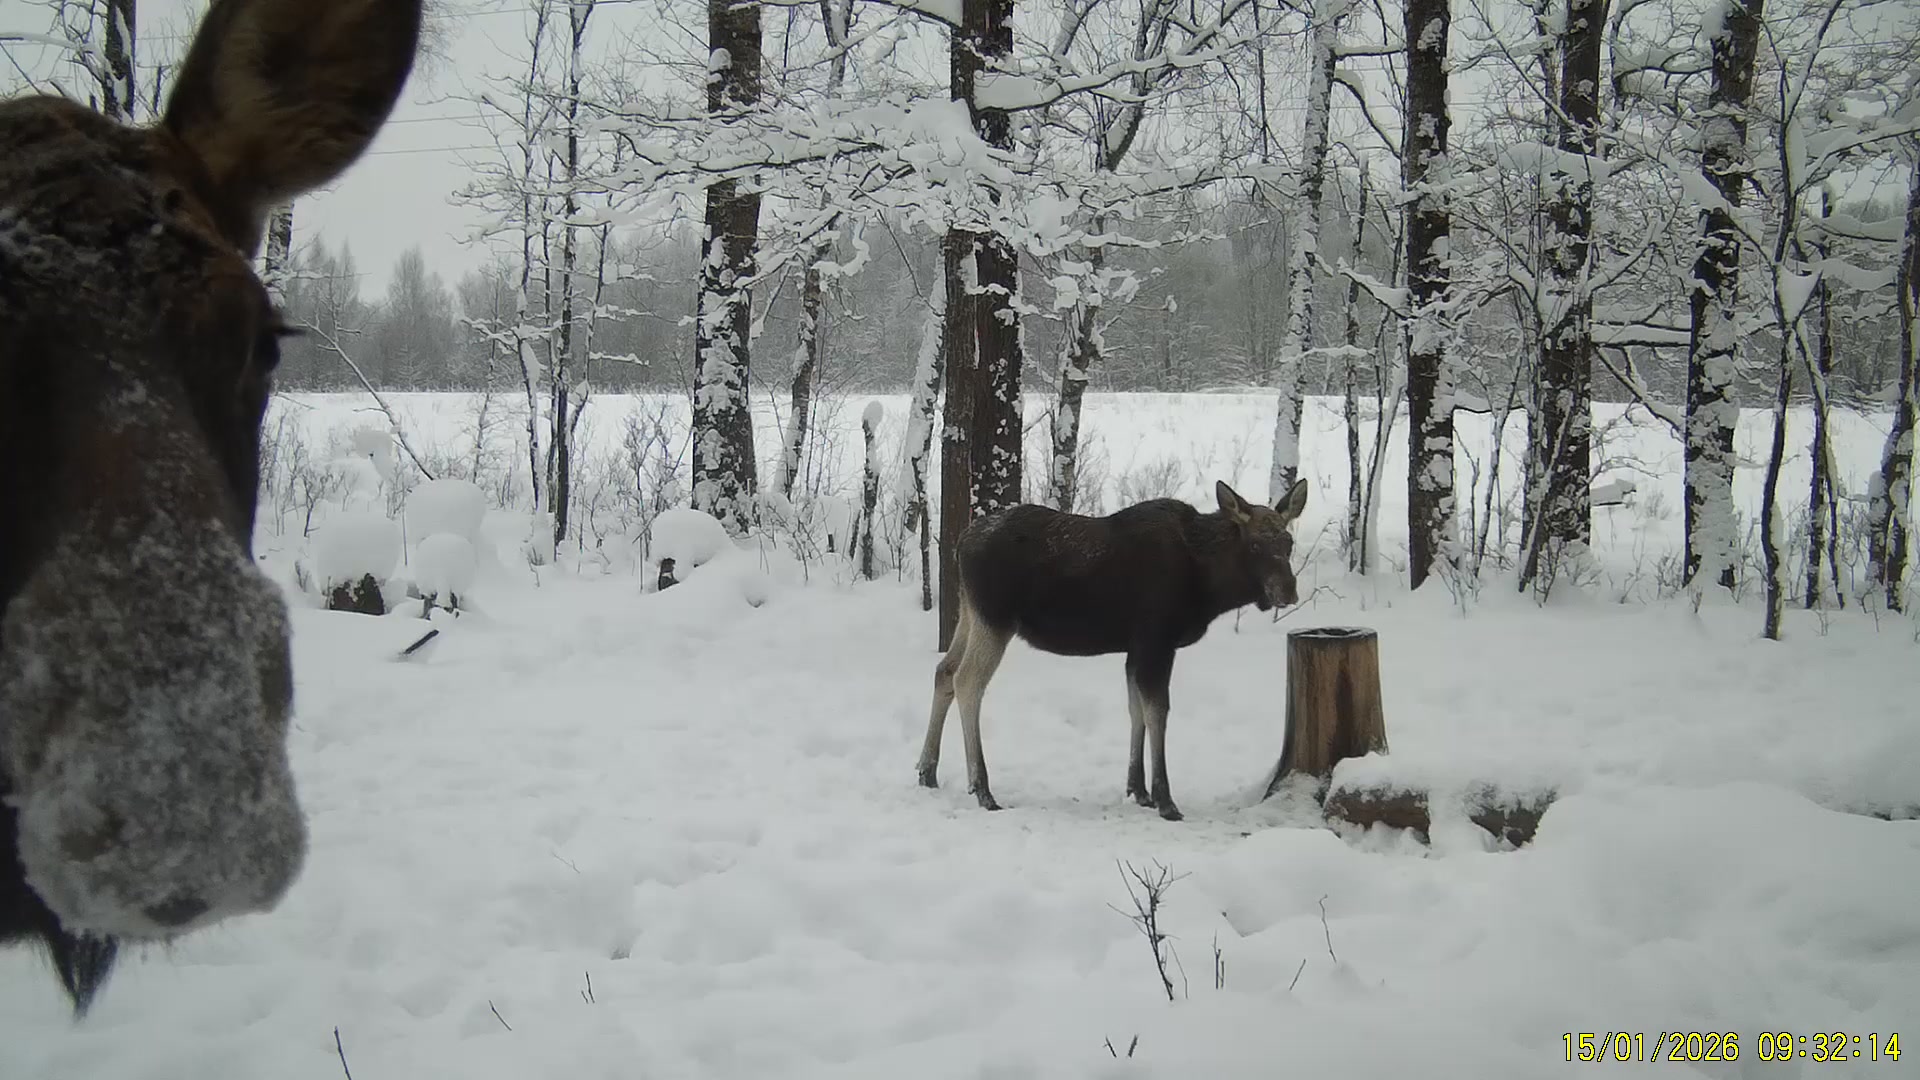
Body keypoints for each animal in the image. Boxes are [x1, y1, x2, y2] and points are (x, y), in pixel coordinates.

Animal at [917, 478, 1310, 822]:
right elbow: (1158, 712)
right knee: (968, 681)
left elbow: (1136, 710)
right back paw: (982, 788)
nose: (1287, 591)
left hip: (971, 613)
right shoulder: (1157, 639)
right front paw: (1166, 800)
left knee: (944, 671)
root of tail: (960, 544)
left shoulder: (1135, 648)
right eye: (1255, 545)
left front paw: (1139, 790)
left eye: (1289, 542)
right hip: (995, 619)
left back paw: (927, 770)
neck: (1210, 587)